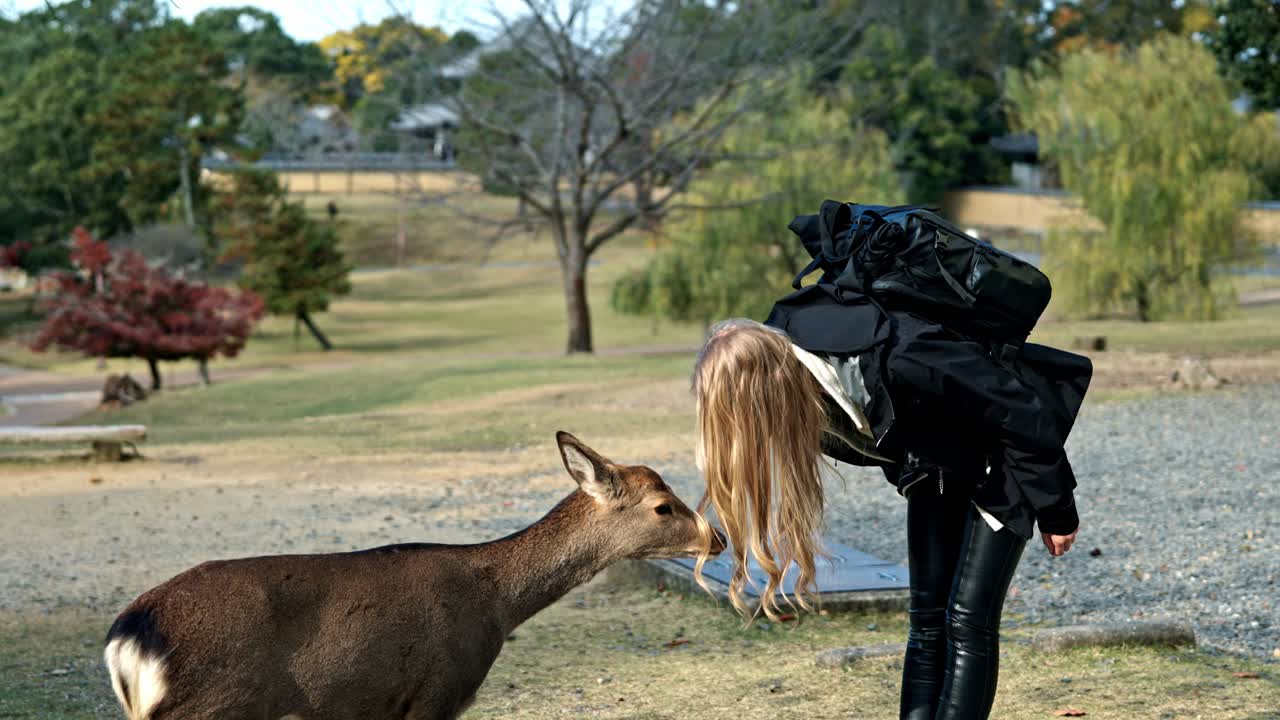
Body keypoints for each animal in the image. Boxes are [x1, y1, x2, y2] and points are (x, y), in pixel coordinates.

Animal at [104, 431, 724, 720]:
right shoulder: (436, 688)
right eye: (663, 506)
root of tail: (128, 636)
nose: (717, 538)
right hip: (213, 705)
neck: (495, 604)